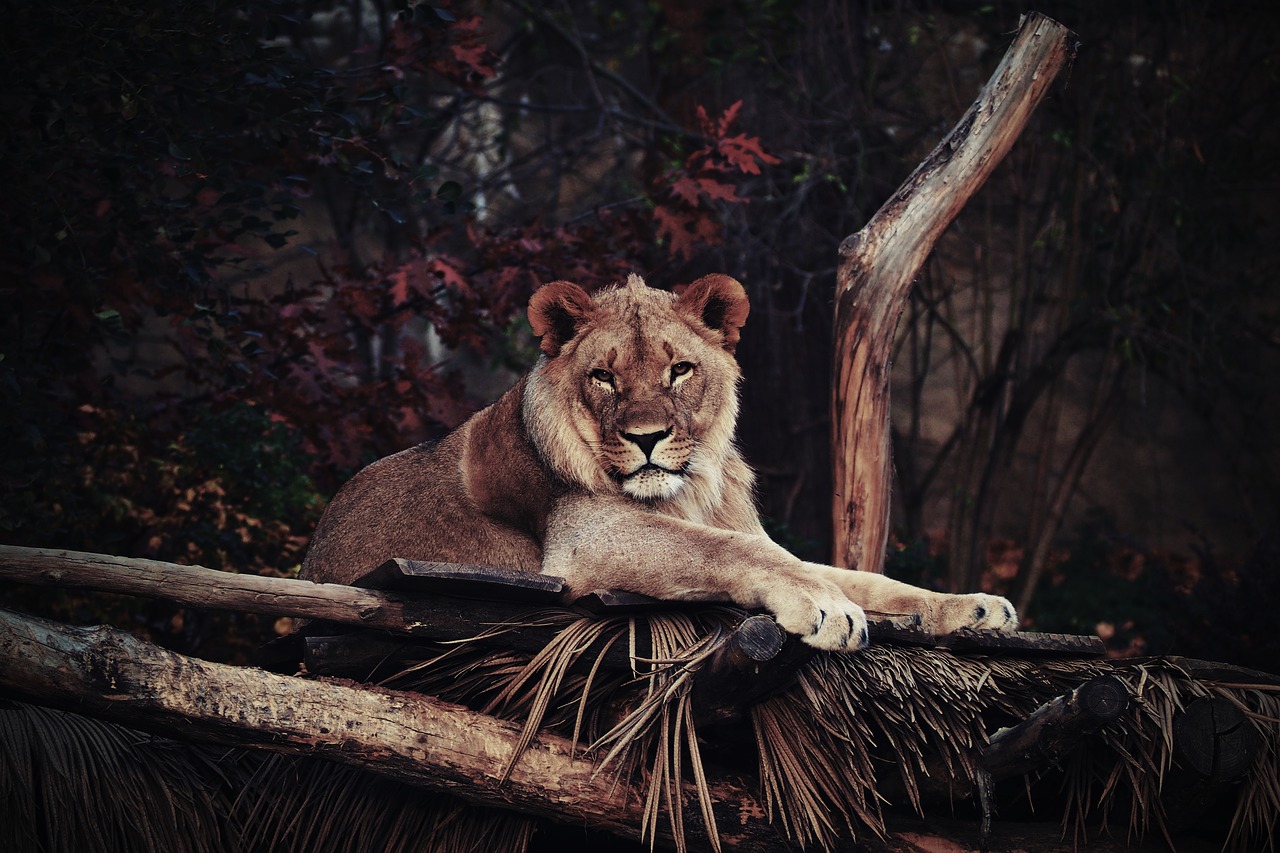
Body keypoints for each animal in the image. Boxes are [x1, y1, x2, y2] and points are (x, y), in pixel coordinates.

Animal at [300, 273, 1016, 650]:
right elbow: (732, 553)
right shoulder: (586, 540)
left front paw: (971, 607)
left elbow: (860, 576)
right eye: (604, 378)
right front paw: (823, 606)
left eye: (680, 370)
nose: (647, 437)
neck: (688, 492)